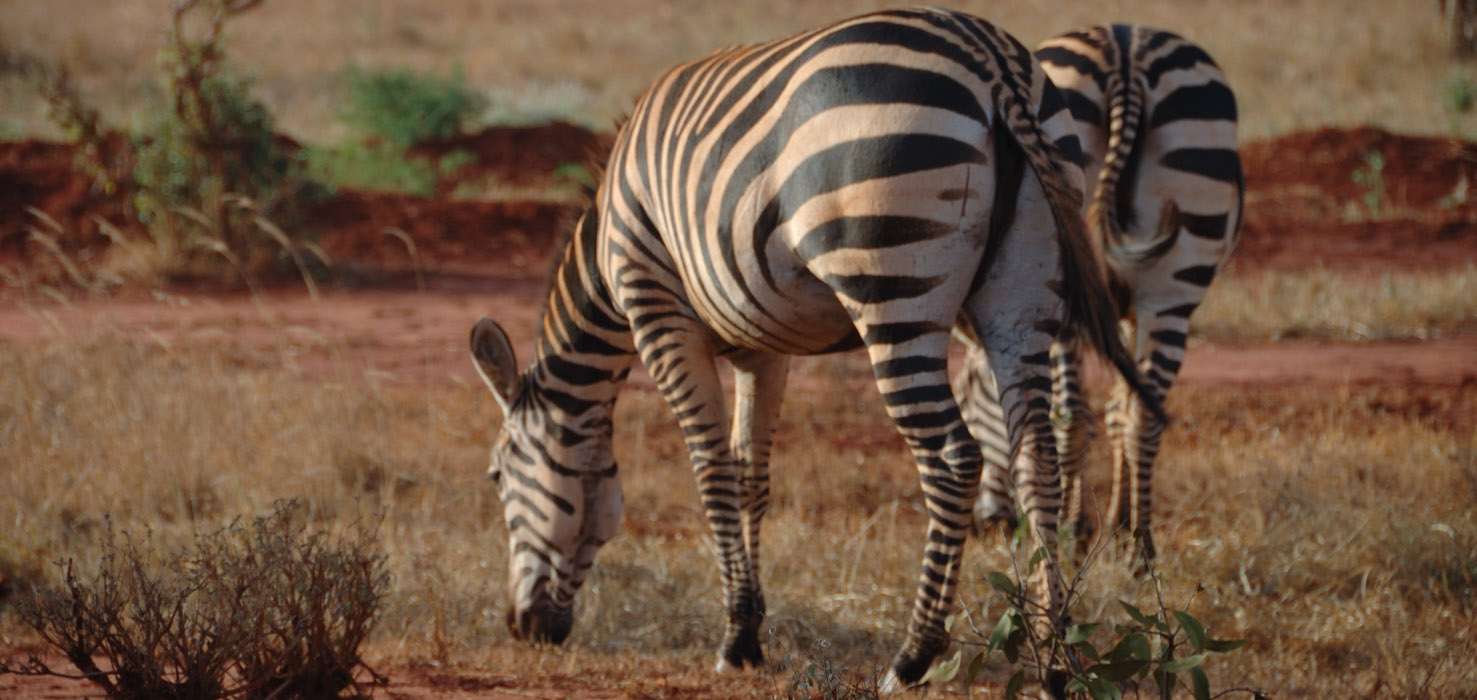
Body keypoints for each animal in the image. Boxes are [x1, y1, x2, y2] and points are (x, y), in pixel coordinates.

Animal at [466, 8, 1157, 688]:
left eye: (497, 476)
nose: (521, 628)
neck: (609, 253)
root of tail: (989, 56)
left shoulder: (659, 315)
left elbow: (712, 473)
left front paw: (733, 640)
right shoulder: (761, 346)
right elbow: (751, 476)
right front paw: (750, 627)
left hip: (893, 285)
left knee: (953, 459)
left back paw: (914, 656)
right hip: (1026, 292)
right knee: (1037, 454)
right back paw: (1055, 653)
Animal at [963, 24, 1240, 567]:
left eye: (967, 397)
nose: (988, 524)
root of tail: (1125, 53)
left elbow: (1084, 414)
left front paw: (1084, 528)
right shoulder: (1123, 317)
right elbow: (1120, 409)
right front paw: (1119, 523)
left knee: (1071, 419)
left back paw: (1075, 534)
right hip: (1175, 281)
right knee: (1143, 417)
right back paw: (1142, 549)